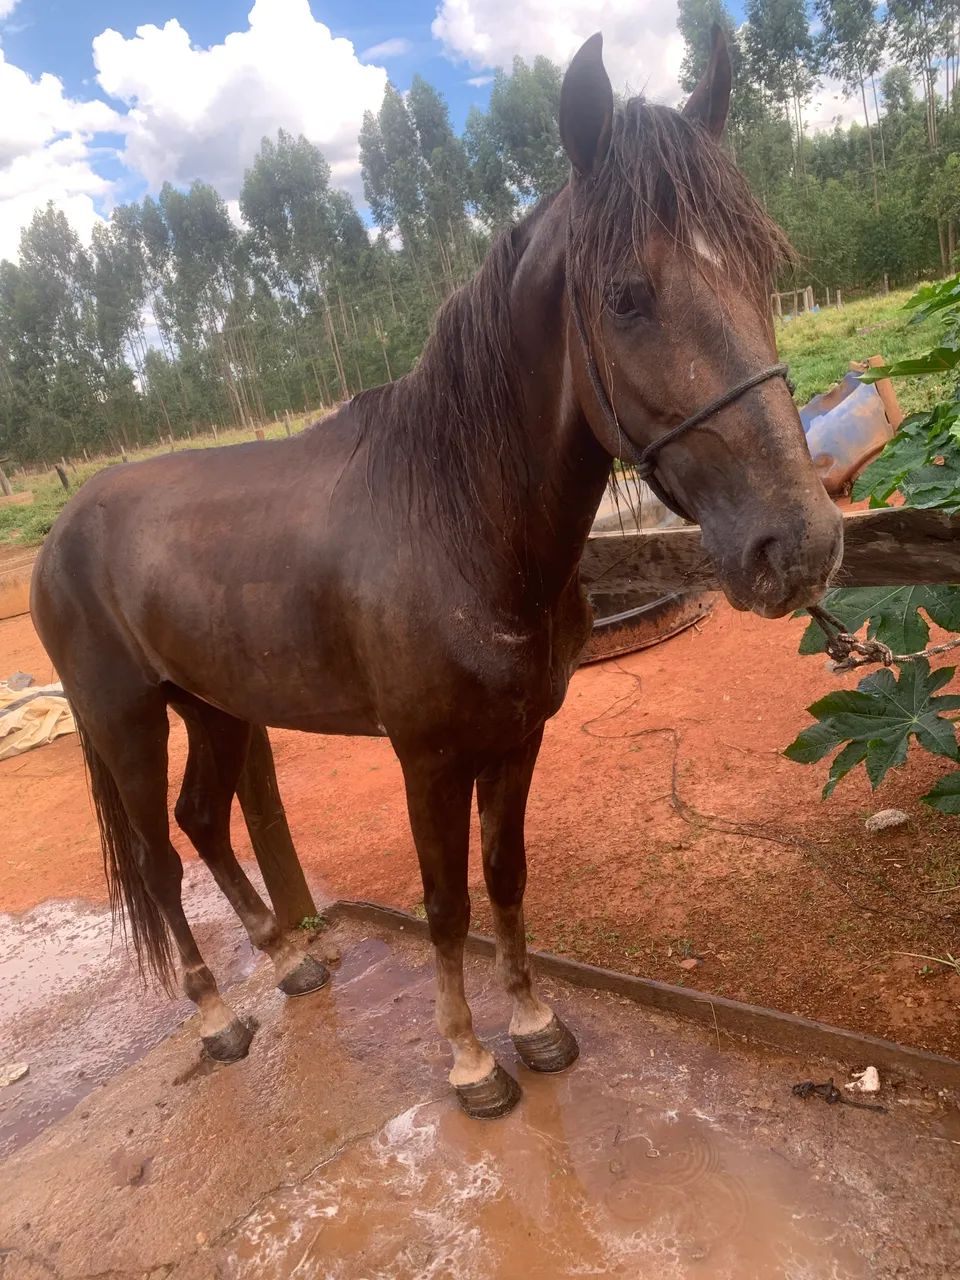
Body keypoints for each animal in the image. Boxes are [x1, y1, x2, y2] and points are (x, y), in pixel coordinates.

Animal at [31, 29, 842, 1119]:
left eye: (762, 269)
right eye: (626, 295)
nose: (797, 544)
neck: (458, 523)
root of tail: (61, 531)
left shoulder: (518, 737)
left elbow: (505, 877)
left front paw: (534, 1024)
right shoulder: (426, 756)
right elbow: (446, 901)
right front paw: (469, 1061)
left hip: (215, 705)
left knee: (203, 819)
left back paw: (291, 962)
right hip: (125, 719)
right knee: (159, 864)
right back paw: (217, 1021)